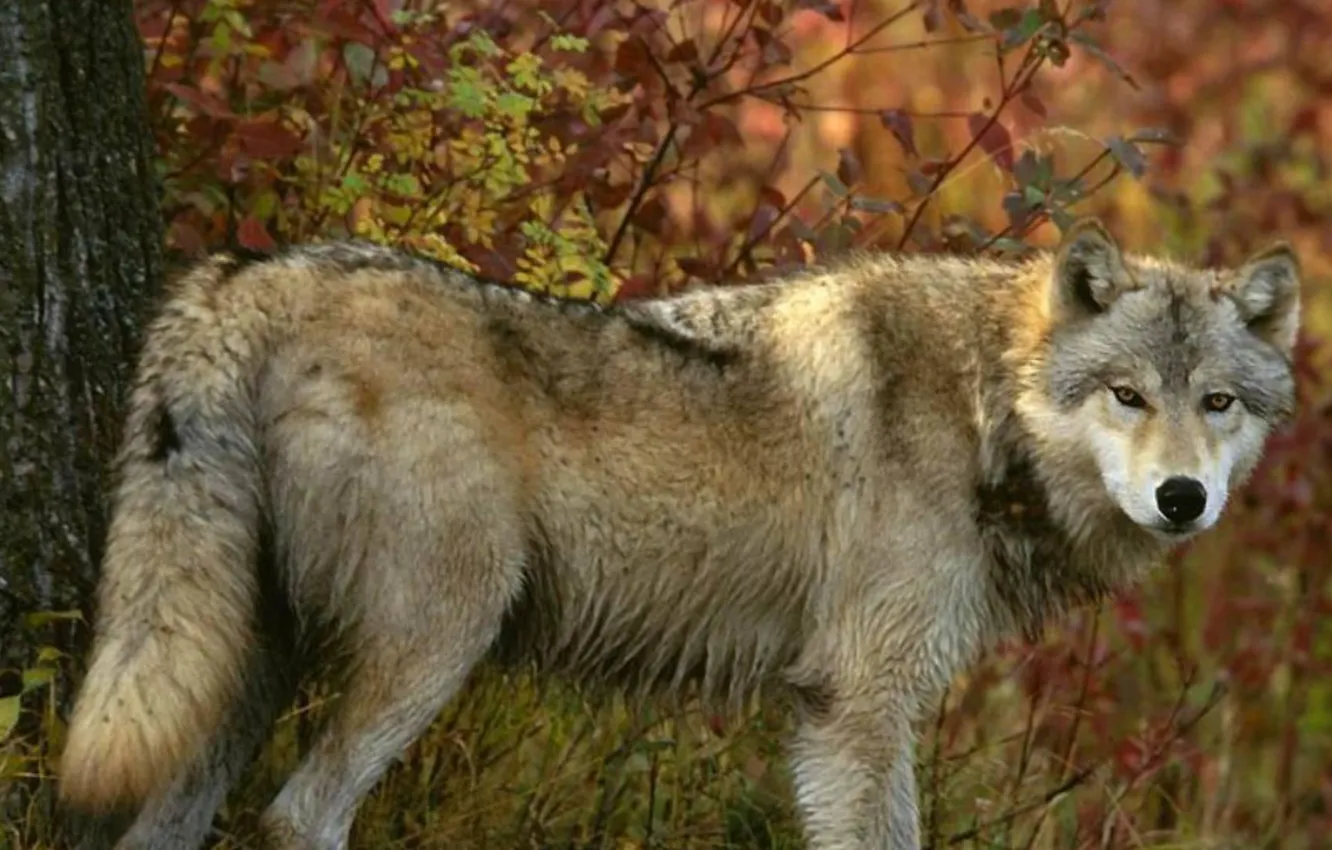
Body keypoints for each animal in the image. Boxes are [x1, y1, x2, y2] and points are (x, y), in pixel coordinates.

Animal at [57, 218, 1301, 850]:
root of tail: (250, 272)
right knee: (299, 815)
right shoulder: (857, 701)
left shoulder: (858, 707)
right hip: (434, 643)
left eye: (1217, 403)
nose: (1182, 498)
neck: (982, 405)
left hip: (241, 666)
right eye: (1128, 396)